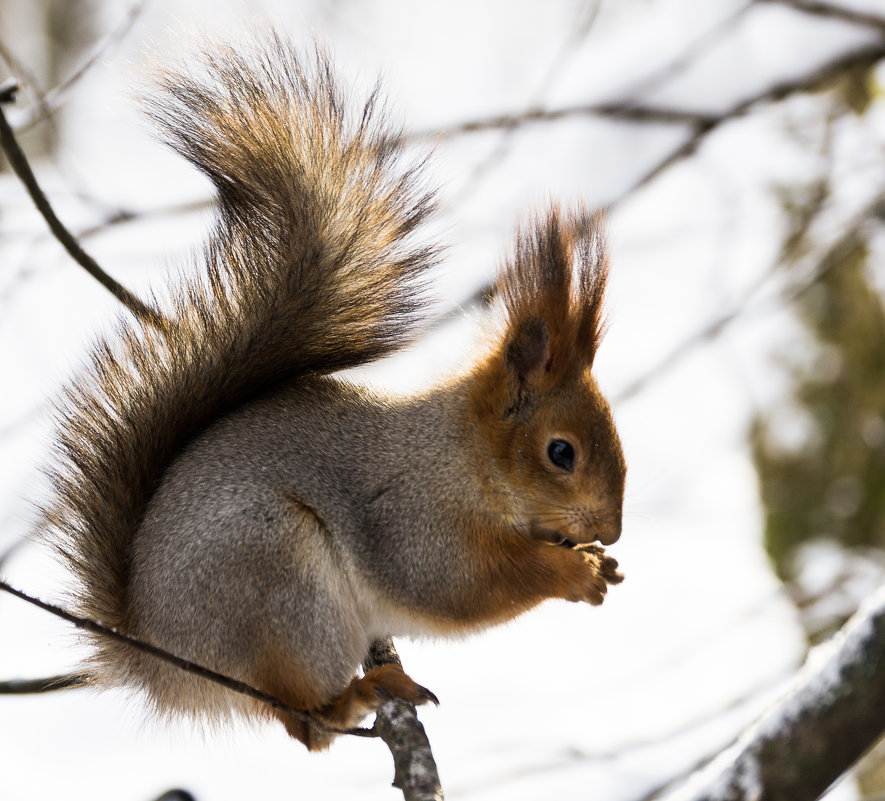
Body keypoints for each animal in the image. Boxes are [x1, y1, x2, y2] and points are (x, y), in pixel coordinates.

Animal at [39, 34, 620, 748]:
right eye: (561, 452)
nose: (613, 530)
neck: (465, 457)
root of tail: (164, 657)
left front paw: (595, 558)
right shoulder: (411, 517)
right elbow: (459, 584)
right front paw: (575, 572)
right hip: (281, 583)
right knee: (307, 724)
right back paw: (364, 691)